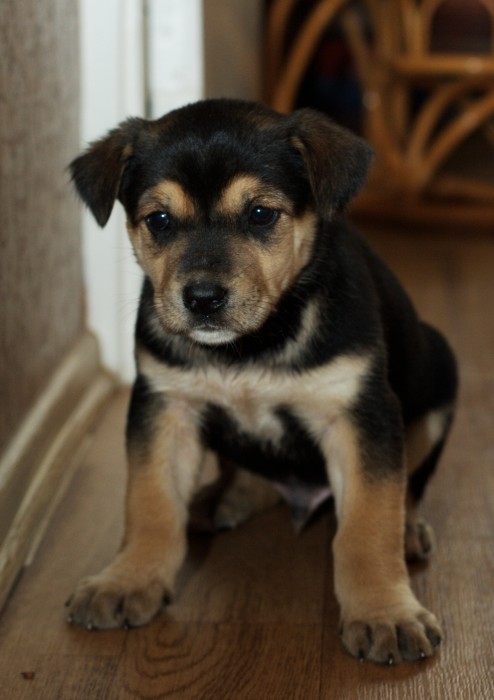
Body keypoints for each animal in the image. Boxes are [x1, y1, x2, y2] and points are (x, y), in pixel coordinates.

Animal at [67, 99, 457, 664]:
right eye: (159, 220)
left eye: (260, 214)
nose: (202, 298)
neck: (252, 344)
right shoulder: (164, 406)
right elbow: (150, 501)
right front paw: (127, 580)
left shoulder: (363, 412)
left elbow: (367, 523)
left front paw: (385, 613)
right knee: (252, 474)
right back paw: (219, 500)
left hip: (439, 373)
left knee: (409, 487)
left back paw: (407, 528)